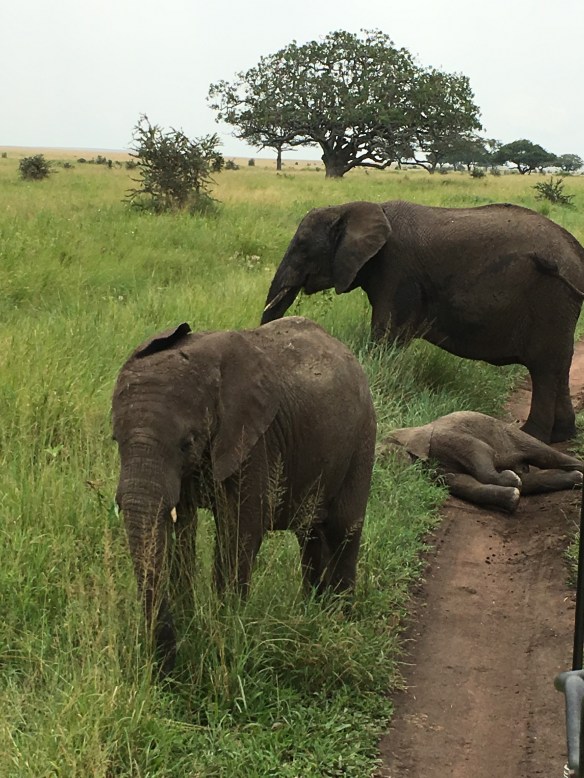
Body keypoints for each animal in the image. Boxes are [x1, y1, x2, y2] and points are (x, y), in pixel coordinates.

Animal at [112, 316, 376, 673]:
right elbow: (181, 533)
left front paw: (224, 631)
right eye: (115, 440)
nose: (166, 669)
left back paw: (339, 618)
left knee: (344, 528)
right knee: (309, 533)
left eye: (187, 443)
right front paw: (191, 624)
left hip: (363, 436)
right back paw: (312, 608)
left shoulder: (253, 442)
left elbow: (240, 533)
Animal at [261, 200, 584, 444]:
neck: (352, 207)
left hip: (549, 297)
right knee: (559, 364)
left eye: (302, 245)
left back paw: (532, 436)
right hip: (561, 304)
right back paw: (562, 436)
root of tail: (576, 255)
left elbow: (386, 335)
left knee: (544, 368)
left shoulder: (396, 270)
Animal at [382, 410, 583, 513]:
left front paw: (512, 482)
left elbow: (480, 452)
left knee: (543, 453)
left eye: (386, 456)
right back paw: (577, 478)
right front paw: (513, 497)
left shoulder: (447, 439)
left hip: (507, 432)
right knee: (531, 481)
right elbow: (463, 482)